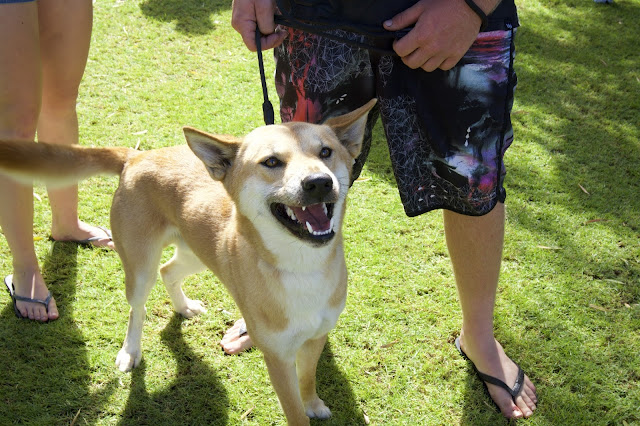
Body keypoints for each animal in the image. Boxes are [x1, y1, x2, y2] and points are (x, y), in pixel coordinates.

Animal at [0, 99, 376, 425]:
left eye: (325, 152)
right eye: (271, 162)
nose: (319, 182)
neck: (301, 265)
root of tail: (137, 156)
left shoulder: (316, 337)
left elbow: (308, 378)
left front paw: (313, 403)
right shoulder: (278, 357)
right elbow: (293, 410)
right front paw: (303, 411)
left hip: (197, 253)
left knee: (169, 271)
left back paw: (183, 307)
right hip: (140, 266)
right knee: (138, 307)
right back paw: (130, 351)